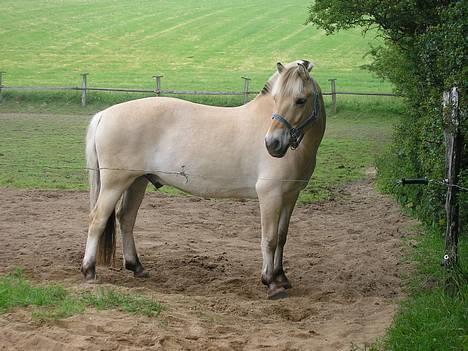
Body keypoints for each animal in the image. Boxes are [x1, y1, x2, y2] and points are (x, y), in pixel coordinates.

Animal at [81, 59, 326, 300]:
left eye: (300, 100)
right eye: (276, 99)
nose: (272, 144)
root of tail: (104, 114)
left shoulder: (290, 196)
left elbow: (282, 237)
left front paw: (282, 277)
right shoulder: (270, 195)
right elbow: (270, 239)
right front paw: (271, 283)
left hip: (137, 182)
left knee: (126, 219)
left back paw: (136, 267)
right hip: (115, 184)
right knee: (97, 220)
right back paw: (89, 271)